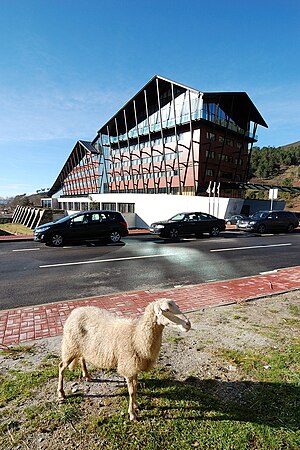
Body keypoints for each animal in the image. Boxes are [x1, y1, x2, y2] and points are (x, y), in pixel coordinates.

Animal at [57, 298, 191, 422]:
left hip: (81, 346)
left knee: (82, 358)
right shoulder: (128, 366)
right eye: (166, 310)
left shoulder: (134, 366)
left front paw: (136, 405)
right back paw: (61, 393)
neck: (136, 335)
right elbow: (131, 391)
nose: (188, 324)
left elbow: (136, 387)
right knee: (61, 367)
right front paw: (132, 414)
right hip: (70, 345)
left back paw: (87, 376)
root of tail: (75, 311)